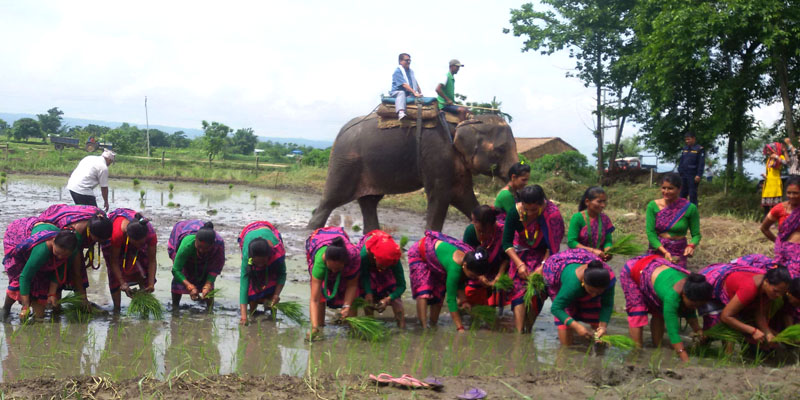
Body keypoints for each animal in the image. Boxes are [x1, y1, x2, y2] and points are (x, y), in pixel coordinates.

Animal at [306, 113, 520, 231]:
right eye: (501, 149)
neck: (467, 121)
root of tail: (339, 132)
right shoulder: (438, 154)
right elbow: (441, 196)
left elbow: (463, 196)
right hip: (345, 164)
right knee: (331, 200)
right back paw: (311, 230)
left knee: (369, 201)